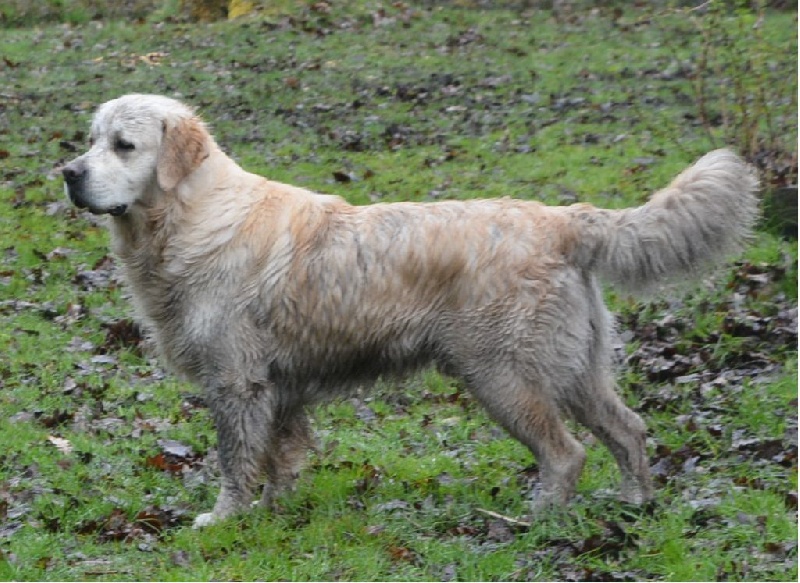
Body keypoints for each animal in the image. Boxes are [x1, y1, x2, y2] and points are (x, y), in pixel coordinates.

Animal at [64, 94, 756, 528]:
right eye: (90, 140)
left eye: (125, 146)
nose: (68, 172)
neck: (190, 215)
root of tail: (563, 218)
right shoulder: (280, 385)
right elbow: (279, 460)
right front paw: (271, 516)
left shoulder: (236, 381)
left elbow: (237, 460)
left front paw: (224, 518)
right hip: (574, 368)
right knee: (629, 430)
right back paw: (636, 503)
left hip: (504, 376)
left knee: (567, 454)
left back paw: (536, 519)